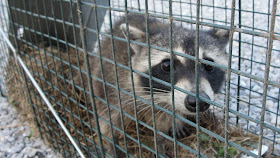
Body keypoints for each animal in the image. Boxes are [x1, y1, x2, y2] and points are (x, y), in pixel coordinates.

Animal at [88, 14, 229, 157]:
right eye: (167, 65)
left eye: (209, 66)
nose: (198, 101)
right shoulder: (111, 82)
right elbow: (107, 120)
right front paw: (112, 144)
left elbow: (161, 129)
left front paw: (162, 142)